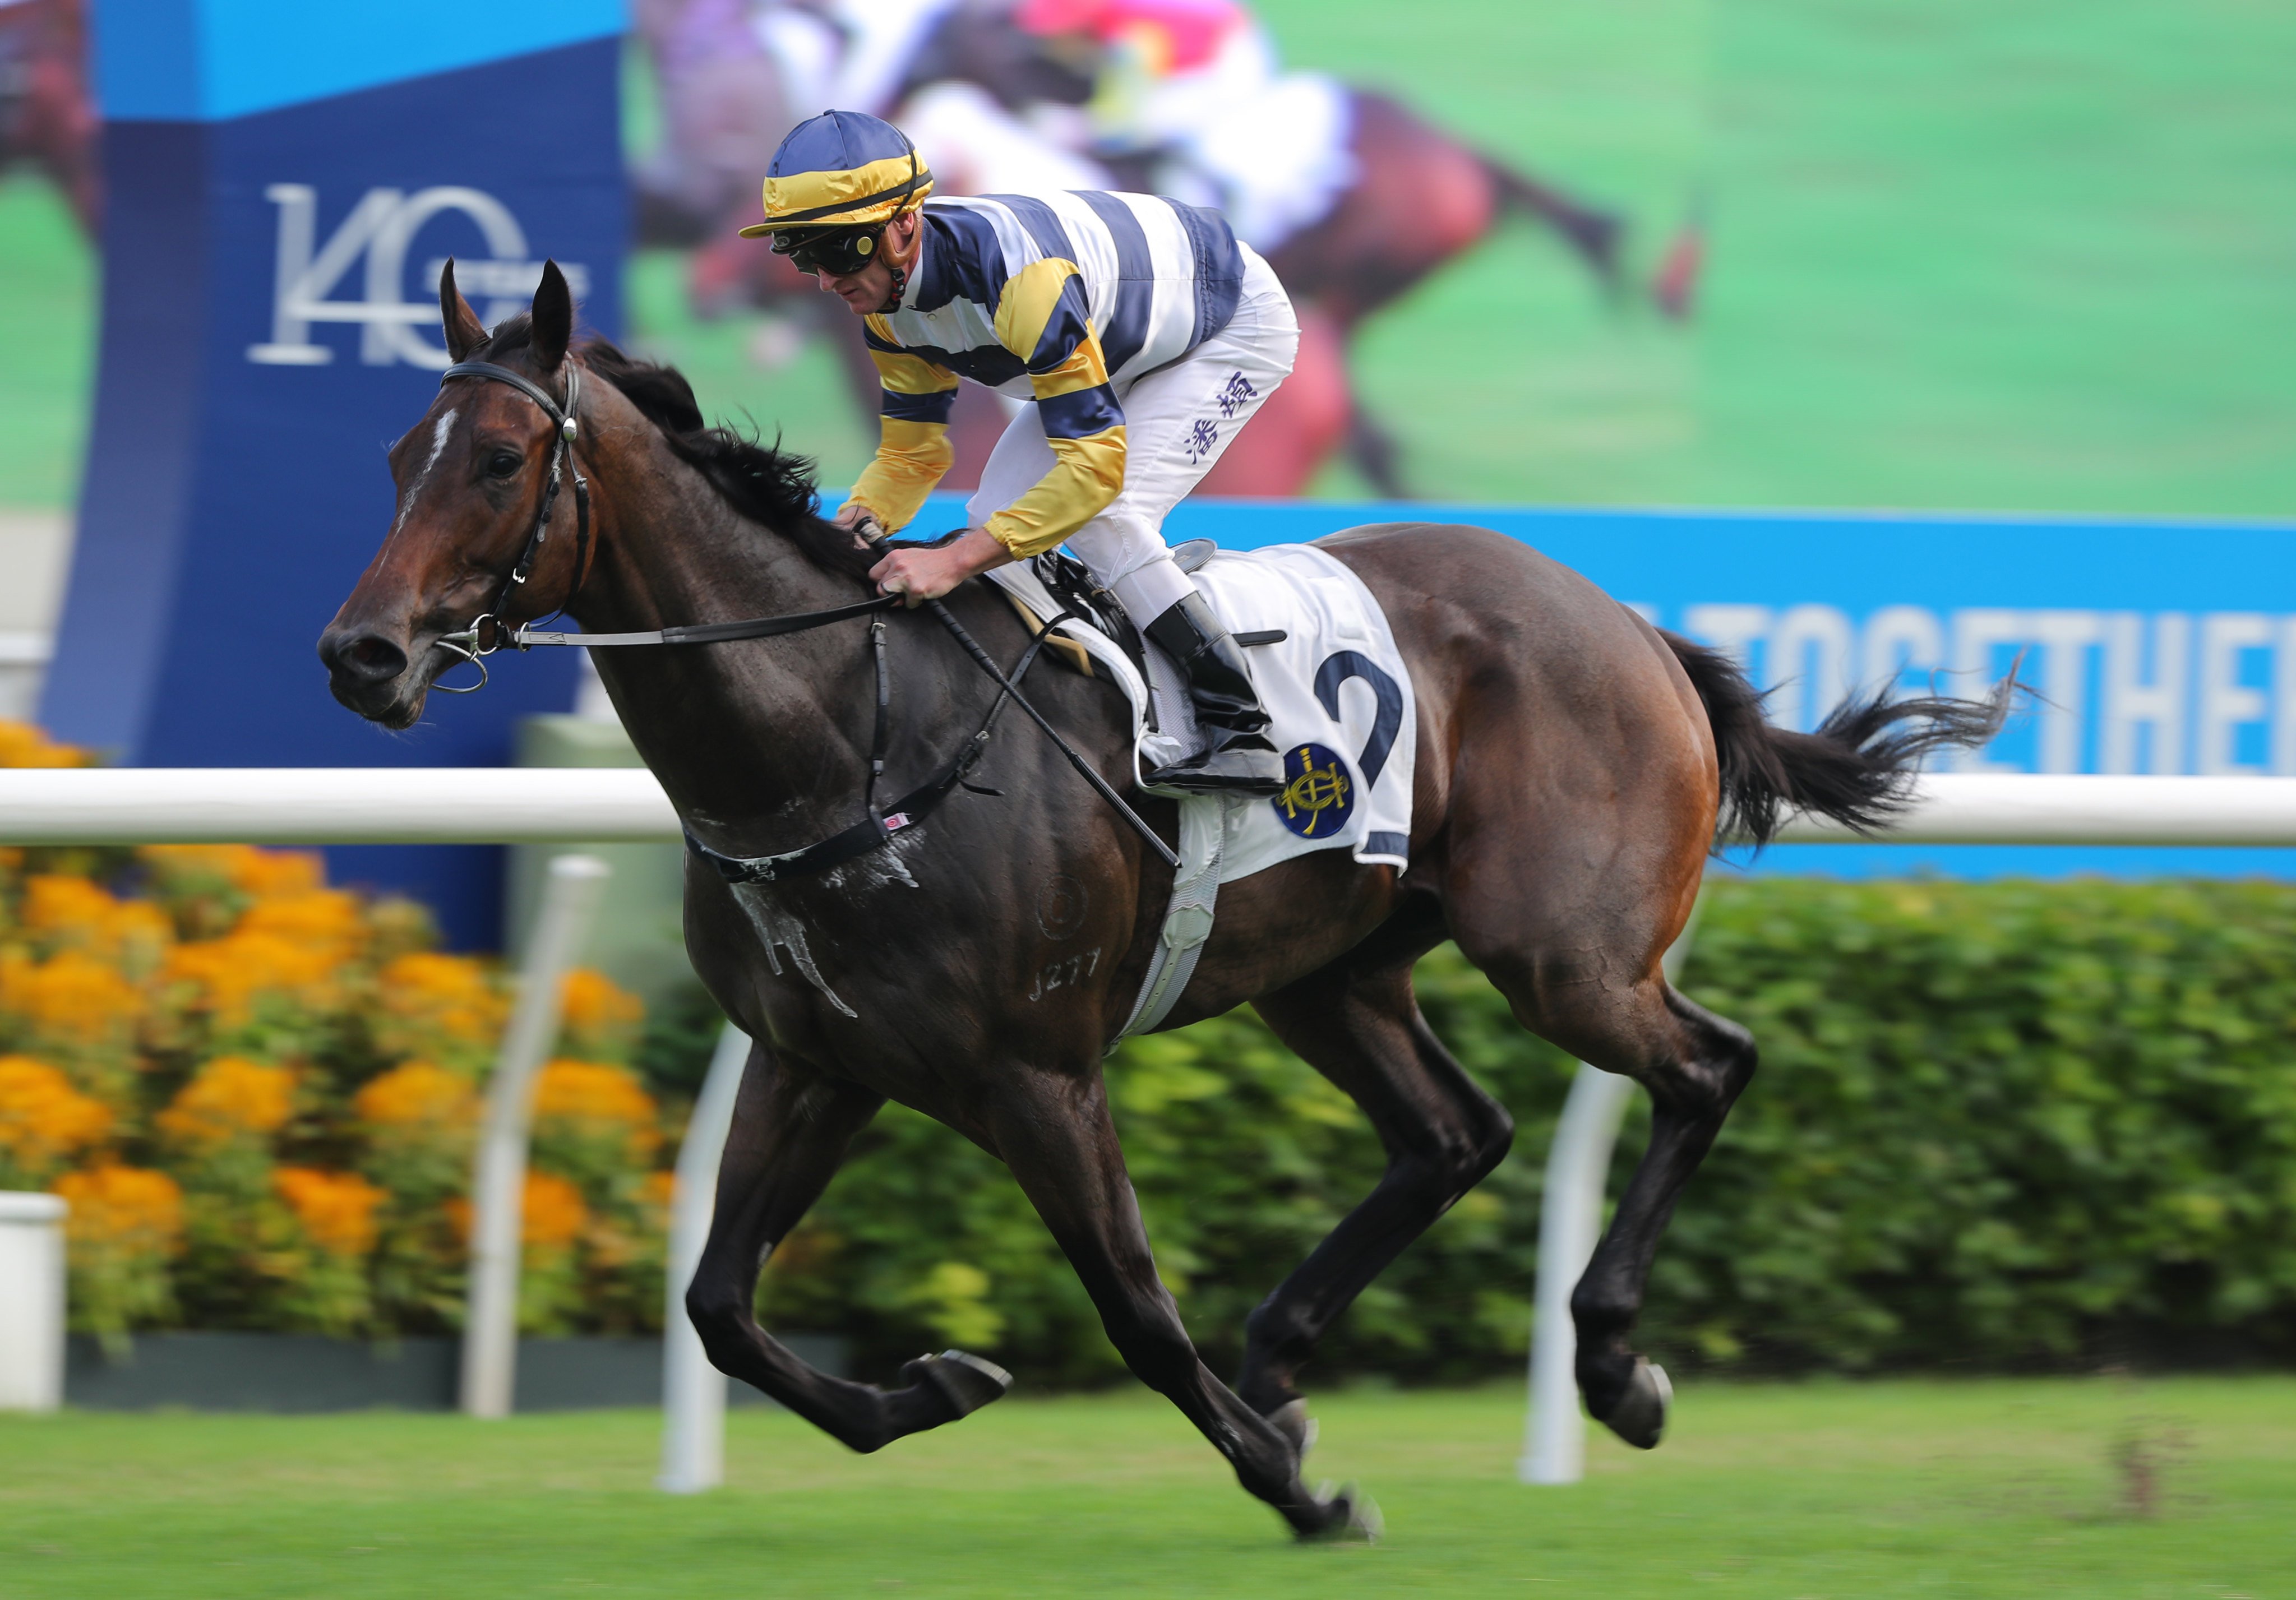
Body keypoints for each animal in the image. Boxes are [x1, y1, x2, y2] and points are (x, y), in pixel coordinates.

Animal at [315, 261, 2002, 1533]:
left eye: (501, 461)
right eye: (395, 459)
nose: (362, 655)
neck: (842, 735)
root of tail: (1630, 623)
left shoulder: (1036, 1071)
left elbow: (1129, 1300)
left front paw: (1298, 1490)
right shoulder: (819, 1057)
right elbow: (719, 1304)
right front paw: (936, 1384)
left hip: (1563, 954)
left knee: (1708, 1065)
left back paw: (1606, 1365)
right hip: (1330, 965)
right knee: (1456, 1130)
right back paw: (1286, 1354)